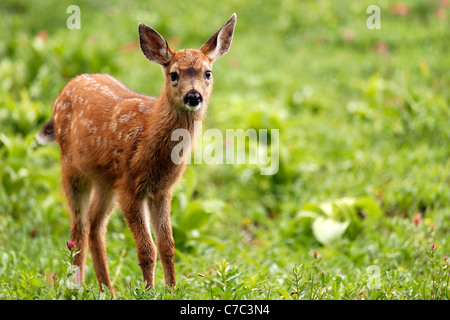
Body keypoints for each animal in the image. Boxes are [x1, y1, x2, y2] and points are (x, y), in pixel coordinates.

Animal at [37, 13, 237, 296]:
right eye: (173, 74)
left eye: (207, 73)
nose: (193, 96)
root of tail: (67, 87)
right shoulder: (131, 188)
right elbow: (146, 248)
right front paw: (149, 291)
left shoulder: (161, 190)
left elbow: (167, 245)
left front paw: (172, 290)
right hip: (72, 168)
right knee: (78, 227)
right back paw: (77, 287)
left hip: (106, 181)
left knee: (95, 225)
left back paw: (107, 290)